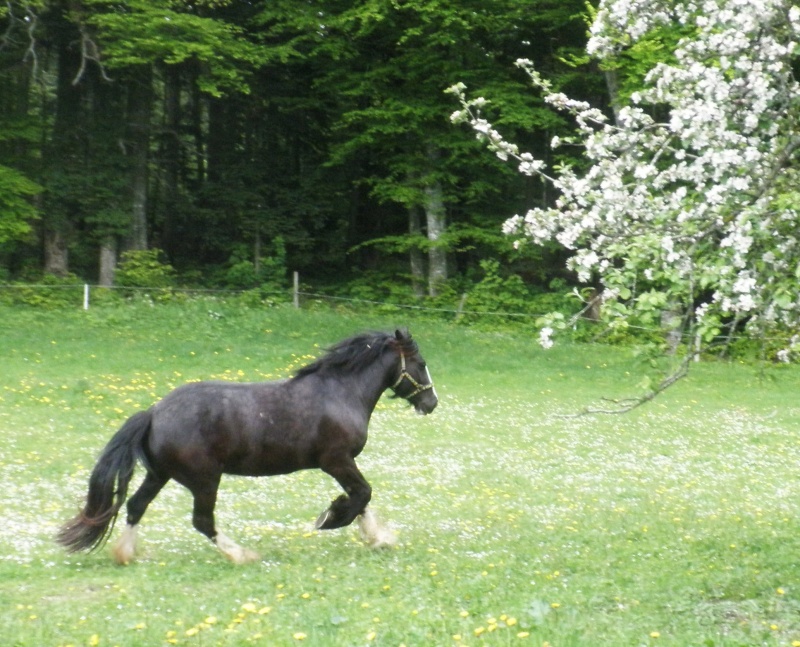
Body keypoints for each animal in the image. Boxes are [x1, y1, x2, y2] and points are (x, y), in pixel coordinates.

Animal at [56, 330, 438, 560]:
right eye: (420, 364)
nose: (431, 403)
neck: (340, 393)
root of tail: (154, 412)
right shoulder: (336, 460)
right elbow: (362, 494)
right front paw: (331, 519)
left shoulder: (339, 464)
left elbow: (361, 498)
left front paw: (376, 537)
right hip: (205, 480)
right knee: (202, 521)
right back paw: (242, 555)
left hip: (160, 474)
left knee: (136, 506)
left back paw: (125, 555)